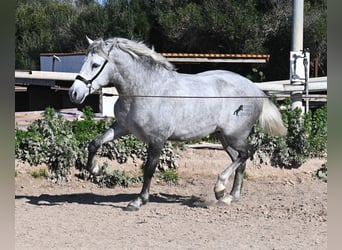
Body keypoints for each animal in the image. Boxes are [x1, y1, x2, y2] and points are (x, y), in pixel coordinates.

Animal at [69, 37, 286, 211]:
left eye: (95, 64)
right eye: (84, 61)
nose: (74, 93)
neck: (146, 90)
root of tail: (255, 90)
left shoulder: (157, 139)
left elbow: (149, 169)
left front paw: (138, 201)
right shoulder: (122, 128)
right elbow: (94, 144)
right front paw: (96, 169)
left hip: (235, 135)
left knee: (247, 153)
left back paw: (220, 187)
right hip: (224, 137)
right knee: (240, 159)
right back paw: (229, 197)